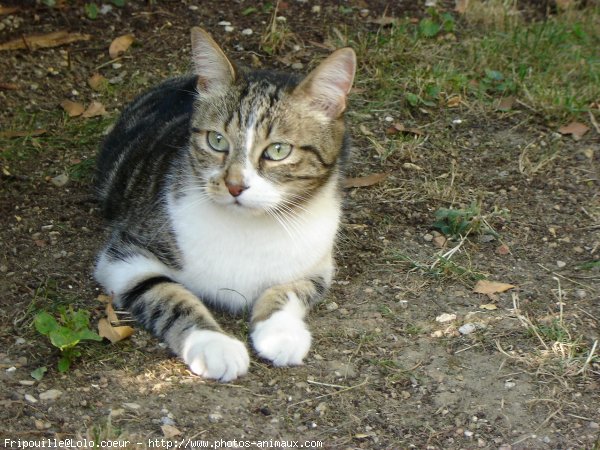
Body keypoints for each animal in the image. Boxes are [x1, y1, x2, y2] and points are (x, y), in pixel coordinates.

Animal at [94, 26, 356, 382]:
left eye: (278, 151)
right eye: (217, 141)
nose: (234, 186)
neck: (249, 228)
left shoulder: (317, 262)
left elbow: (289, 289)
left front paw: (280, 332)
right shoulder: (124, 257)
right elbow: (169, 297)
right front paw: (212, 345)